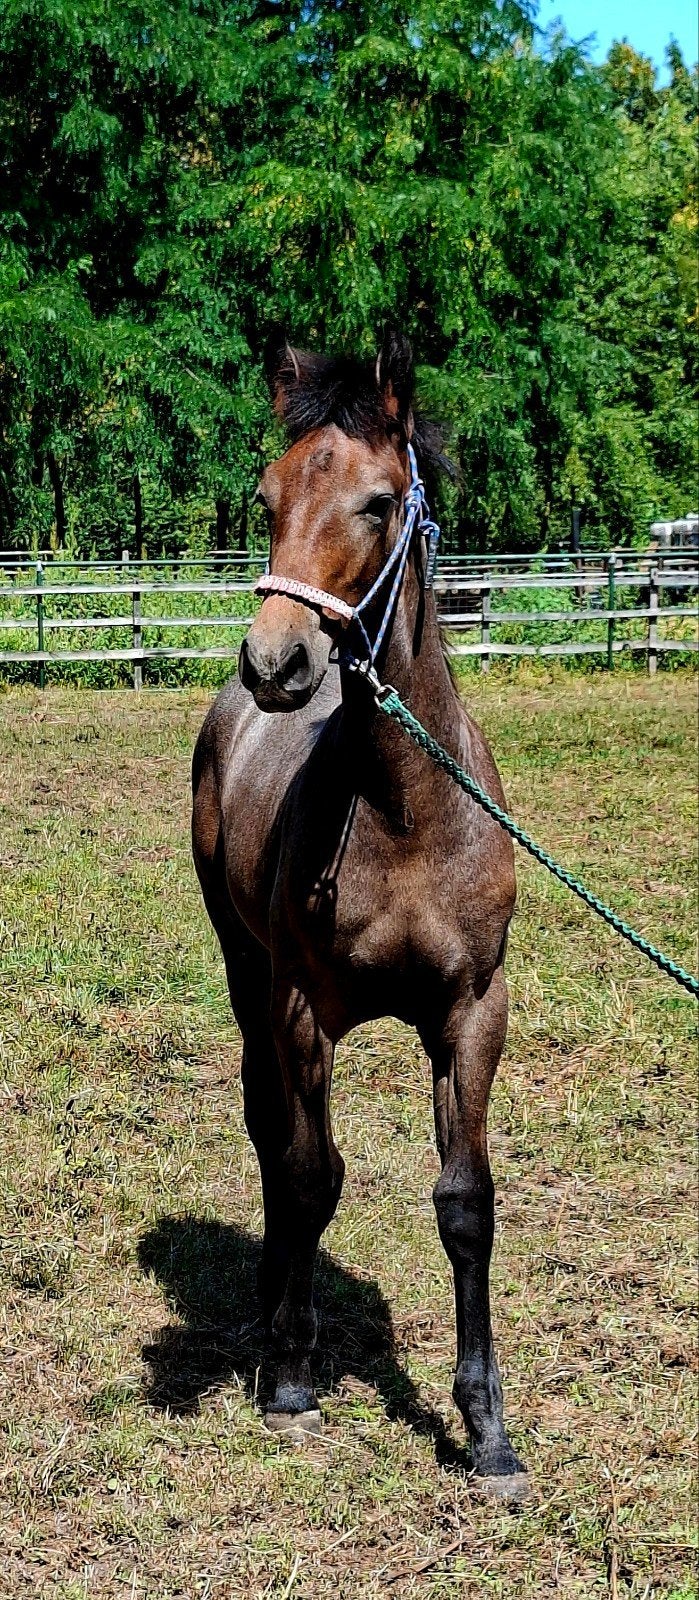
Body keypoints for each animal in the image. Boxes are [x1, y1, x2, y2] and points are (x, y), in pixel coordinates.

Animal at [191, 329, 526, 1498]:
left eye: (380, 503)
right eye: (268, 495)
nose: (276, 662)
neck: (406, 810)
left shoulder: (472, 1011)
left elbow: (465, 1202)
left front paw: (486, 1432)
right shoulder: (303, 1008)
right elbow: (307, 1171)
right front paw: (292, 1376)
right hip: (245, 971)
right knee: (272, 1134)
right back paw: (271, 1313)